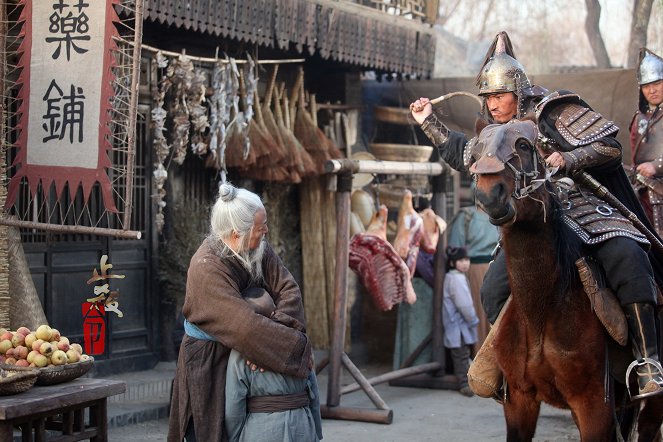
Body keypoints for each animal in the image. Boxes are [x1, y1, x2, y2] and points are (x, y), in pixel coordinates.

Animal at [470, 119, 663, 440]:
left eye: (523, 145)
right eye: (476, 151)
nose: (490, 195)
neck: (544, 309)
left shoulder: (594, 406)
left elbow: (609, 147)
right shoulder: (518, 401)